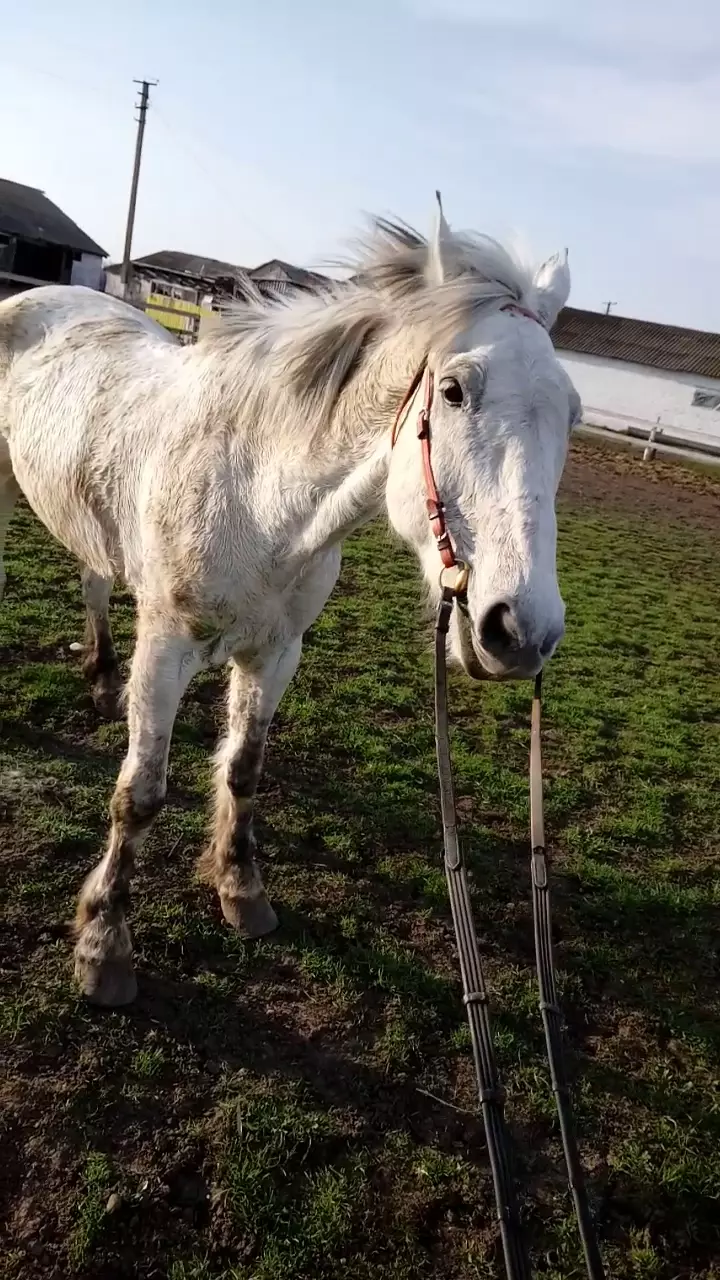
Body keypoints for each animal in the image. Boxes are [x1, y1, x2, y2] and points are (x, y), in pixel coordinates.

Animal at [0, 204, 573, 1003]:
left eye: (572, 413)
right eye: (455, 390)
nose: (522, 631)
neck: (257, 496)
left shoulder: (275, 654)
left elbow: (244, 769)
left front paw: (241, 891)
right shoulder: (167, 651)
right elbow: (139, 795)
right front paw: (104, 945)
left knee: (94, 579)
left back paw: (103, 681)